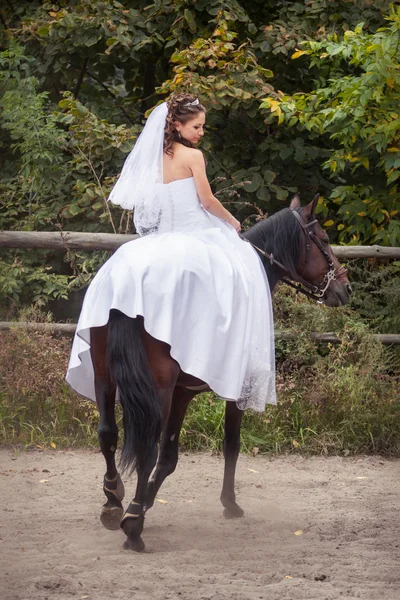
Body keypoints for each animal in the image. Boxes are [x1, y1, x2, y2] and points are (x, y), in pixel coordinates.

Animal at [88, 195, 350, 552]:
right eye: (323, 239)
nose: (346, 288)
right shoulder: (221, 390)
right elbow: (226, 445)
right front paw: (229, 504)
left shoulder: (181, 392)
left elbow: (169, 456)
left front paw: (145, 501)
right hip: (157, 390)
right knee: (146, 447)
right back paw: (133, 525)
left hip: (103, 376)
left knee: (108, 434)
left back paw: (114, 500)